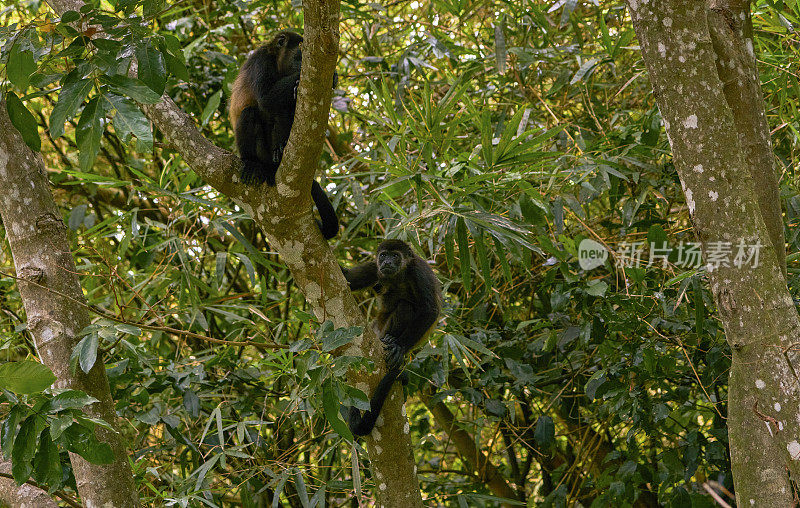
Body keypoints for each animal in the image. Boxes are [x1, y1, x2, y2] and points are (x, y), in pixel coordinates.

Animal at [227, 29, 340, 240]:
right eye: (300, 55)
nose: (305, 66)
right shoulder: (261, 61)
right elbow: (265, 98)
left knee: (281, 112)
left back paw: (280, 151)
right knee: (251, 112)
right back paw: (252, 162)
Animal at [338, 240, 438, 434]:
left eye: (395, 256)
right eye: (384, 255)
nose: (387, 262)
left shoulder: (419, 271)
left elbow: (430, 310)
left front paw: (400, 347)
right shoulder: (374, 266)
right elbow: (347, 279)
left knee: (405, 306)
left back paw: (392, 341)